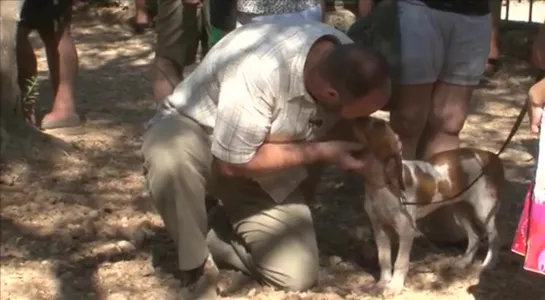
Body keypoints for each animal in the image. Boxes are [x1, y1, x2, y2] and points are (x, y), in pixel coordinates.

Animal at [352, 116, 502, 296]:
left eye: (379, 124)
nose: (357, 118)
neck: (381, 186)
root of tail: (488, 155)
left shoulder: (406, 231)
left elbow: (400, 262)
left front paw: (395, 286)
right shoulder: (380, 229)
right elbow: (384, 259)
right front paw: (382, 283)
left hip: (485, 210)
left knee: (494, 238)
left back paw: (489, 264)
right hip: (460, 209)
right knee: (474, 235)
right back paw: (464, 262)